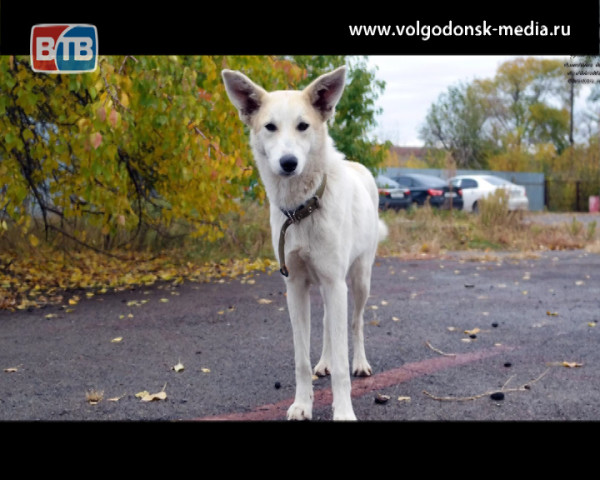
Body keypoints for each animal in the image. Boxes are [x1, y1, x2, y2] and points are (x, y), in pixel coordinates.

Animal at [223, 64, 386, 420]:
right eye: (270, 127)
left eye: (303, 126)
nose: (288, 163)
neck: (302, 210)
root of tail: (357, 166)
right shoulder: (295, 286)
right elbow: (300, 359)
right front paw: (301, 404)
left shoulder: (336, 283)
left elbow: (342, 364)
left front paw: (343, 412)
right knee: (327, 325)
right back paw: (323, 362)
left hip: (359, 280)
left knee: (356, 323)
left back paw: (360, 363)